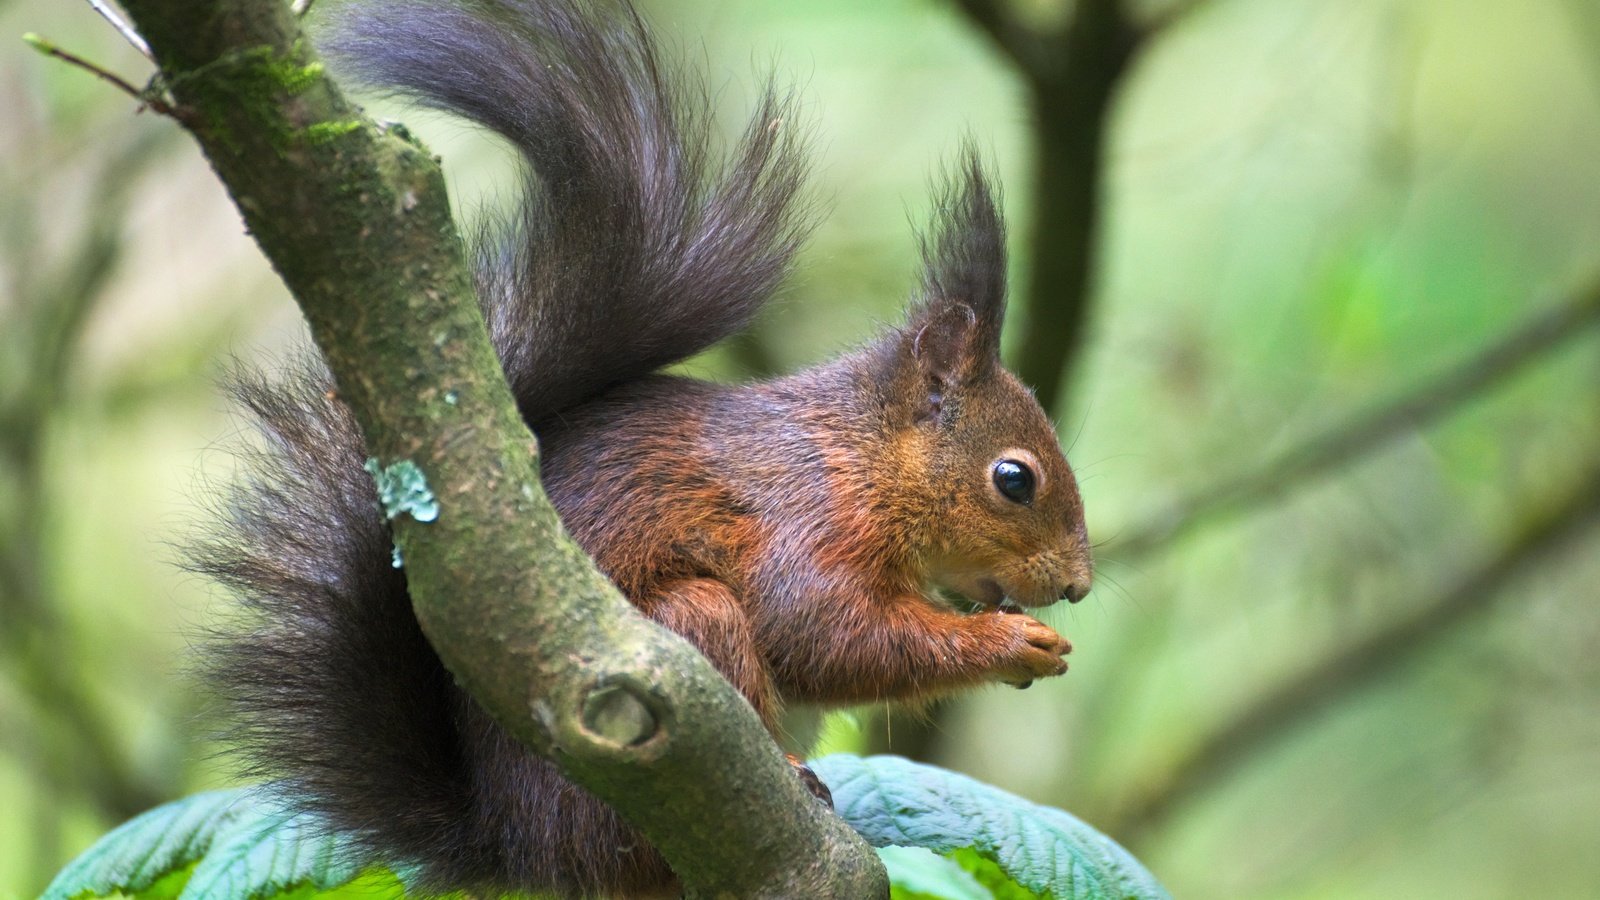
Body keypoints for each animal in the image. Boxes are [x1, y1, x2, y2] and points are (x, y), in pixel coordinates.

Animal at [187, 0, 1088, 890]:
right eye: (1014, 478)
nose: (1076, 587)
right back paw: (791, 775)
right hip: (678, 655)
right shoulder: (805, 522)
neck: (859, 457)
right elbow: (828, 636)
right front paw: (1013, 642)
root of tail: (520, 849)